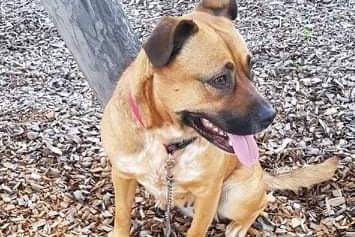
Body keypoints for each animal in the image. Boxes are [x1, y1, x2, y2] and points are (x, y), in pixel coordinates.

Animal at [101, 0, 340, 236]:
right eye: (220, 79)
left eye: (250, 67)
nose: (270, 116)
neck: (165, 142)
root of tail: (261, 174)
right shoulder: (122, 175)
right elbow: (122, 216)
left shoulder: (209, 193)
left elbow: (197, 230)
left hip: (234, 196)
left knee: (262, 202)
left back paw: (237, 227)